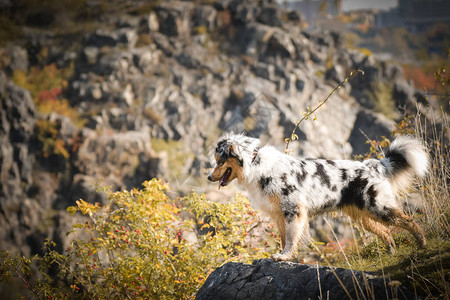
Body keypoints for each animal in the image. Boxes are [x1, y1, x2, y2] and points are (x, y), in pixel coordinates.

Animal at [207, 132, 428, 262]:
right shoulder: (280, 215)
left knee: (409, 221)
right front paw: (284, 256)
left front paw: (285, 256)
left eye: (220, 161)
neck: (255, 165)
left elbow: (291, 238)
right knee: (387, 232)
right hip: (363, 217)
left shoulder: (293, 210)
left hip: (378, 207)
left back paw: (422, 244)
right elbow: (284, 238)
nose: (209, 177)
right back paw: (392, 252)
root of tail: (373, 165)